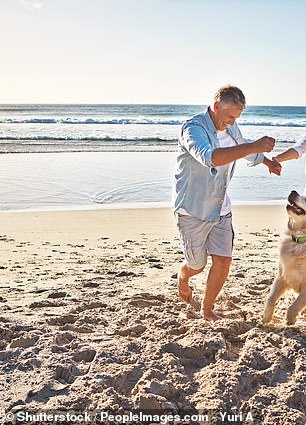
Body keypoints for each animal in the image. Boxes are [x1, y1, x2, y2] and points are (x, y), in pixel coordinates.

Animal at [262, 190, 306, 324]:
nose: (293, 191)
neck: (299, 241)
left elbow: (295, 305)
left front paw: (290, 320)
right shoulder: (282, 276)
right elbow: (270, 298)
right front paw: (266, 318)